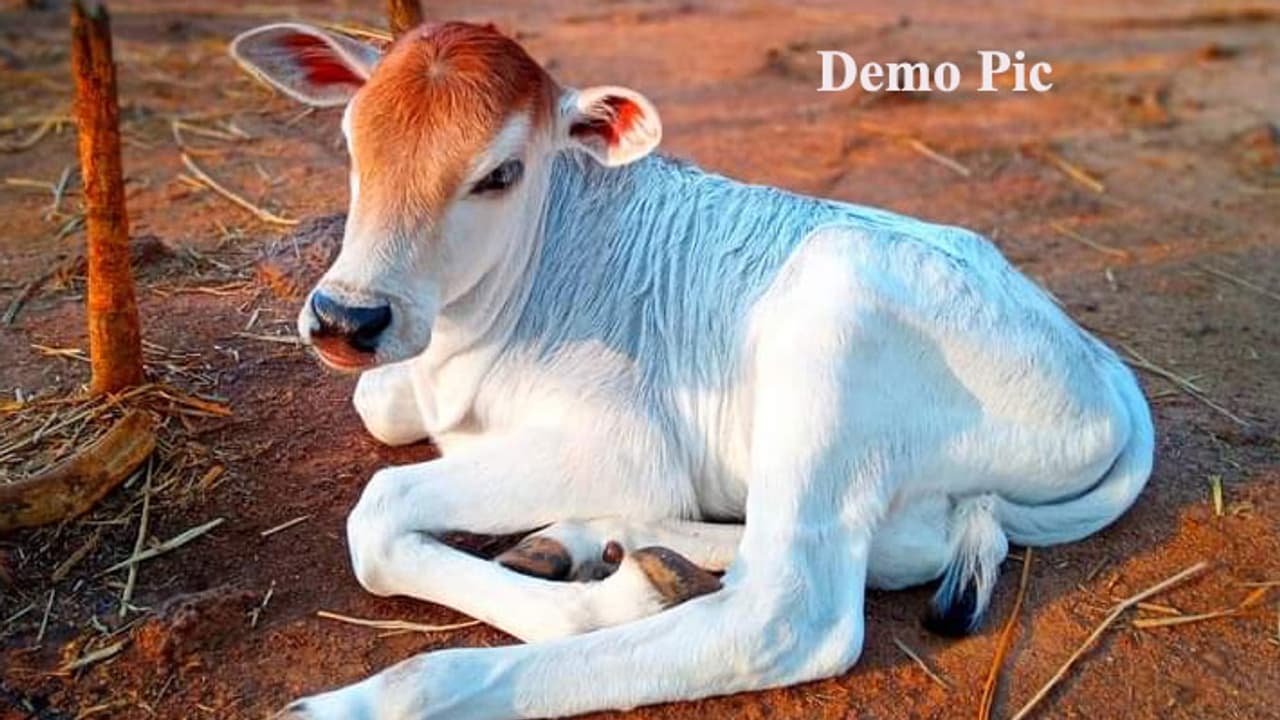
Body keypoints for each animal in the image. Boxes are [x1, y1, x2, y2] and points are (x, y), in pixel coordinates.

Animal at [229, 21, 1154, 720]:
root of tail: (1106, 370)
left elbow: (378, 516)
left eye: (500, 173)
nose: (347, 318)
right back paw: (590, 542)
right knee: (902, 543)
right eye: (352, 142)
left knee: (788, 615)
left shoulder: (628, 444)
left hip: (833, 310)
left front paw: (608, 602)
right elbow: (377, 404)